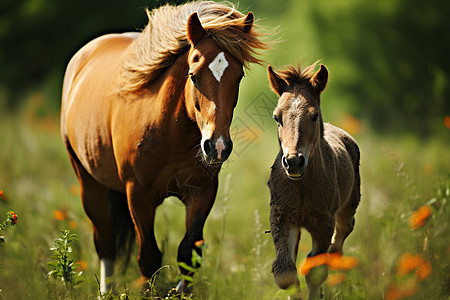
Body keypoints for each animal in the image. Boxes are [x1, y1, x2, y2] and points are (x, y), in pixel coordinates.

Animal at [58, 1, 266, 292]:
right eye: (193, 75)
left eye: (239, 76)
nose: (217, 146)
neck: (172, 135)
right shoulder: (138, 195)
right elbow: (148, 258)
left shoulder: (202, 192)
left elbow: (189, 253)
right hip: (89, 185)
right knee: (105, 245)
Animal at [268, 62, 358, 298]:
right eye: (276, 117)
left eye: (314, 115)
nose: (293, 161)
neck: (302, 187)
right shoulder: (282, 217)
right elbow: (285, 272)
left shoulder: (323, 222)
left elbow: (316, 270)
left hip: (348, 207)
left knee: (341, 238)